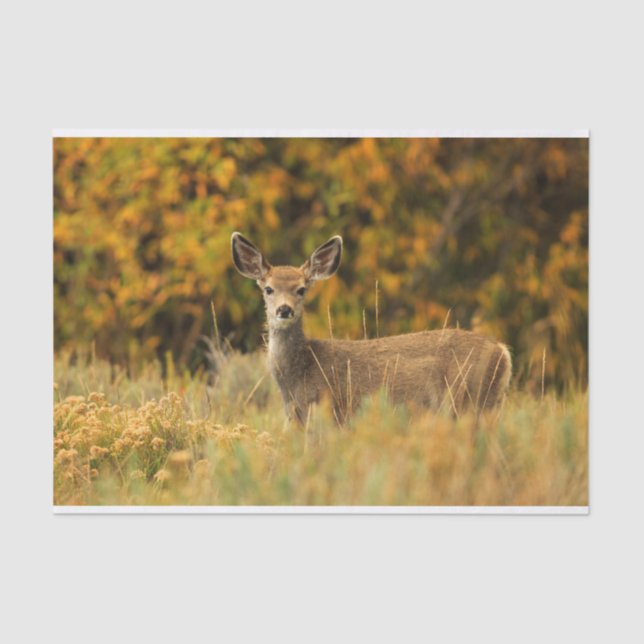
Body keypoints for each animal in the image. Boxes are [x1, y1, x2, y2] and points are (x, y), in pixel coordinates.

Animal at [231, 232, 512, 424]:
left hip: (468, 401)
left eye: (301, 289)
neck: (300, 373)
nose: (284, 310)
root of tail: (503, 351)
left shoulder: (331, 411)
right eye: (268, 289)